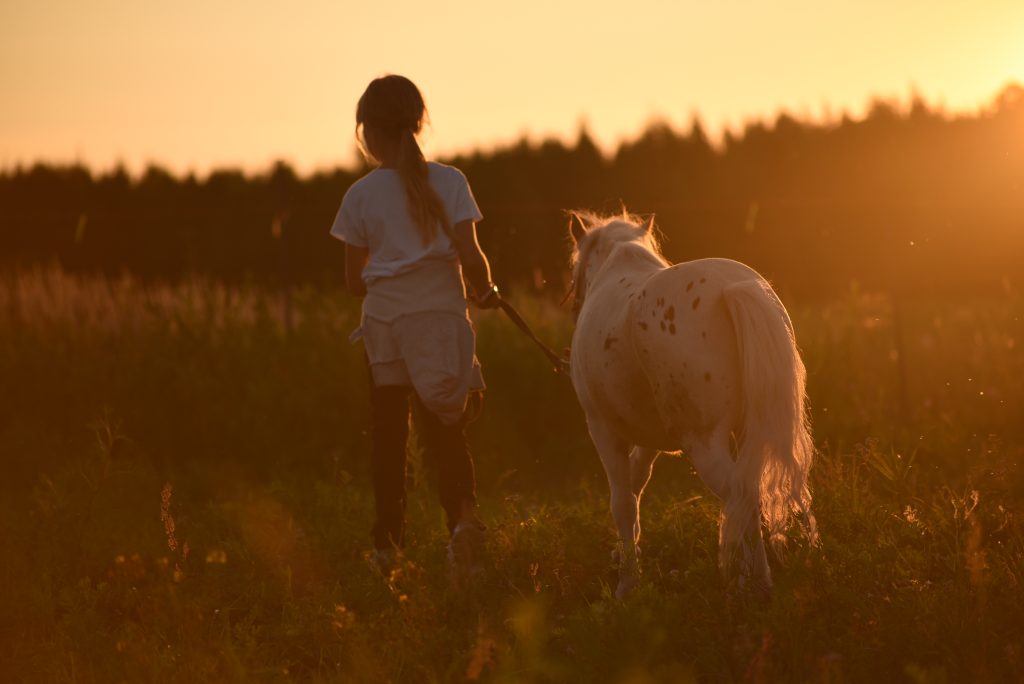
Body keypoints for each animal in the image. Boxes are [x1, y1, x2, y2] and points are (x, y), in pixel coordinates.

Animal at [569, 209, 815, 597]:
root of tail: (732, 288)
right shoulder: (647, 438)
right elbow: (636, 487)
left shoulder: (603, 429)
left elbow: (622, 503)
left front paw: (627, 583)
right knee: (745, 495)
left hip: (703, 442)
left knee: (741, 494)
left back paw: (757, 583)